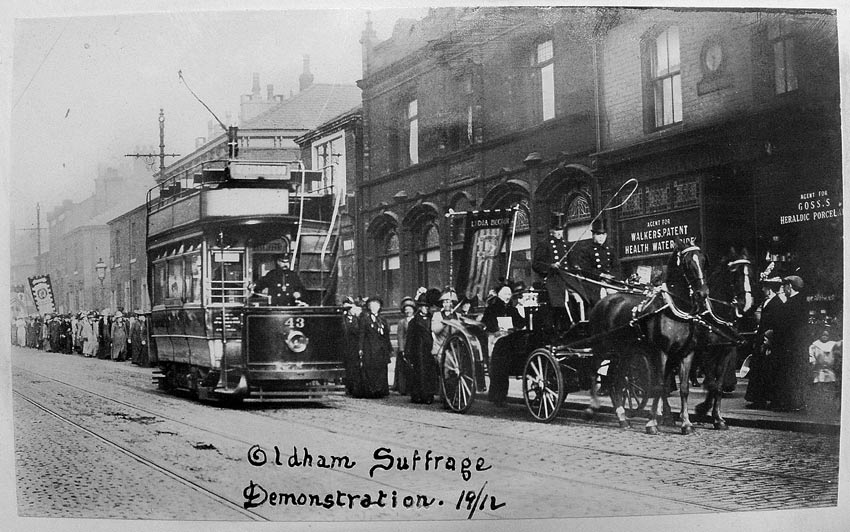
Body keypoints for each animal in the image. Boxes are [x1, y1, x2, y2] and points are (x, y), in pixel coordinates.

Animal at [584, 239, 708, 434]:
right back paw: (592, 407)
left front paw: (686, 424)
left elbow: (684, 388)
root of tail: (603, 302)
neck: (673, 312)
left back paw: (622, 417)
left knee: (614, 379)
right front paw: (652, 423)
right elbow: (658, 386)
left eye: (703, 260)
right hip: (601, 348)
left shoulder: (686, 353)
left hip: (622, 352)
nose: (702, 294)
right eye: (688, 263)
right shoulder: (660, 353)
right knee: (593, 370)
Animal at [688, 248, 756, 428]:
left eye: (750, 273)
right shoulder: (706, 352)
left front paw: (717, 418)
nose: (746, 304)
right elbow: (712, 382)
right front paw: (702, 409)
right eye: (735, 273)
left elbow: (717, 385)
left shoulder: (726, 350)